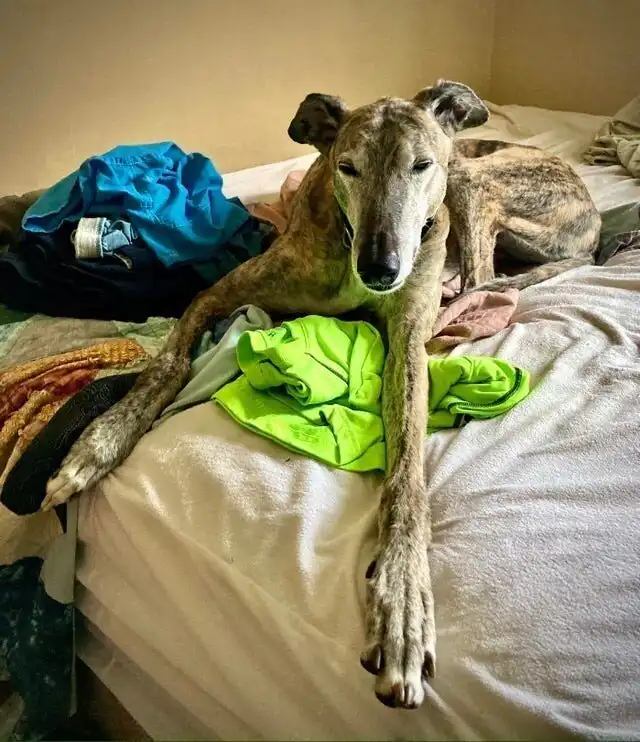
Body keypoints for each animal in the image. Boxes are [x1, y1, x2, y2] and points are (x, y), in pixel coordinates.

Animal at [42, 80, 601, 709]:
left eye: (420, 165)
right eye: (347, 167)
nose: (381, 269)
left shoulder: (406, 339)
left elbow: (407, 477)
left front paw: (403, 602)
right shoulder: (221, 292)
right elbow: (169, 361)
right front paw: (100, 442)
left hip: (470, 182)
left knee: (481, 277)